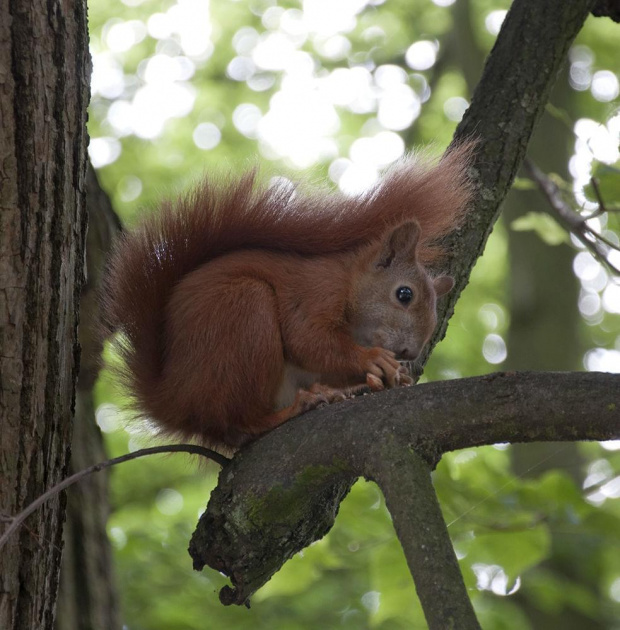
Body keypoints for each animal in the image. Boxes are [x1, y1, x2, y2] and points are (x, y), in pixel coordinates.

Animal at [103, 144, 470, 450]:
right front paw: (372, 360)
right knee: (239, 423)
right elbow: (306, 338)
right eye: (404, 294)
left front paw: (396, 377)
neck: (349, 280)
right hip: (243, 314)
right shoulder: (316, 291)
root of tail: (173, 399)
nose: (410, 352)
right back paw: (295, 408)